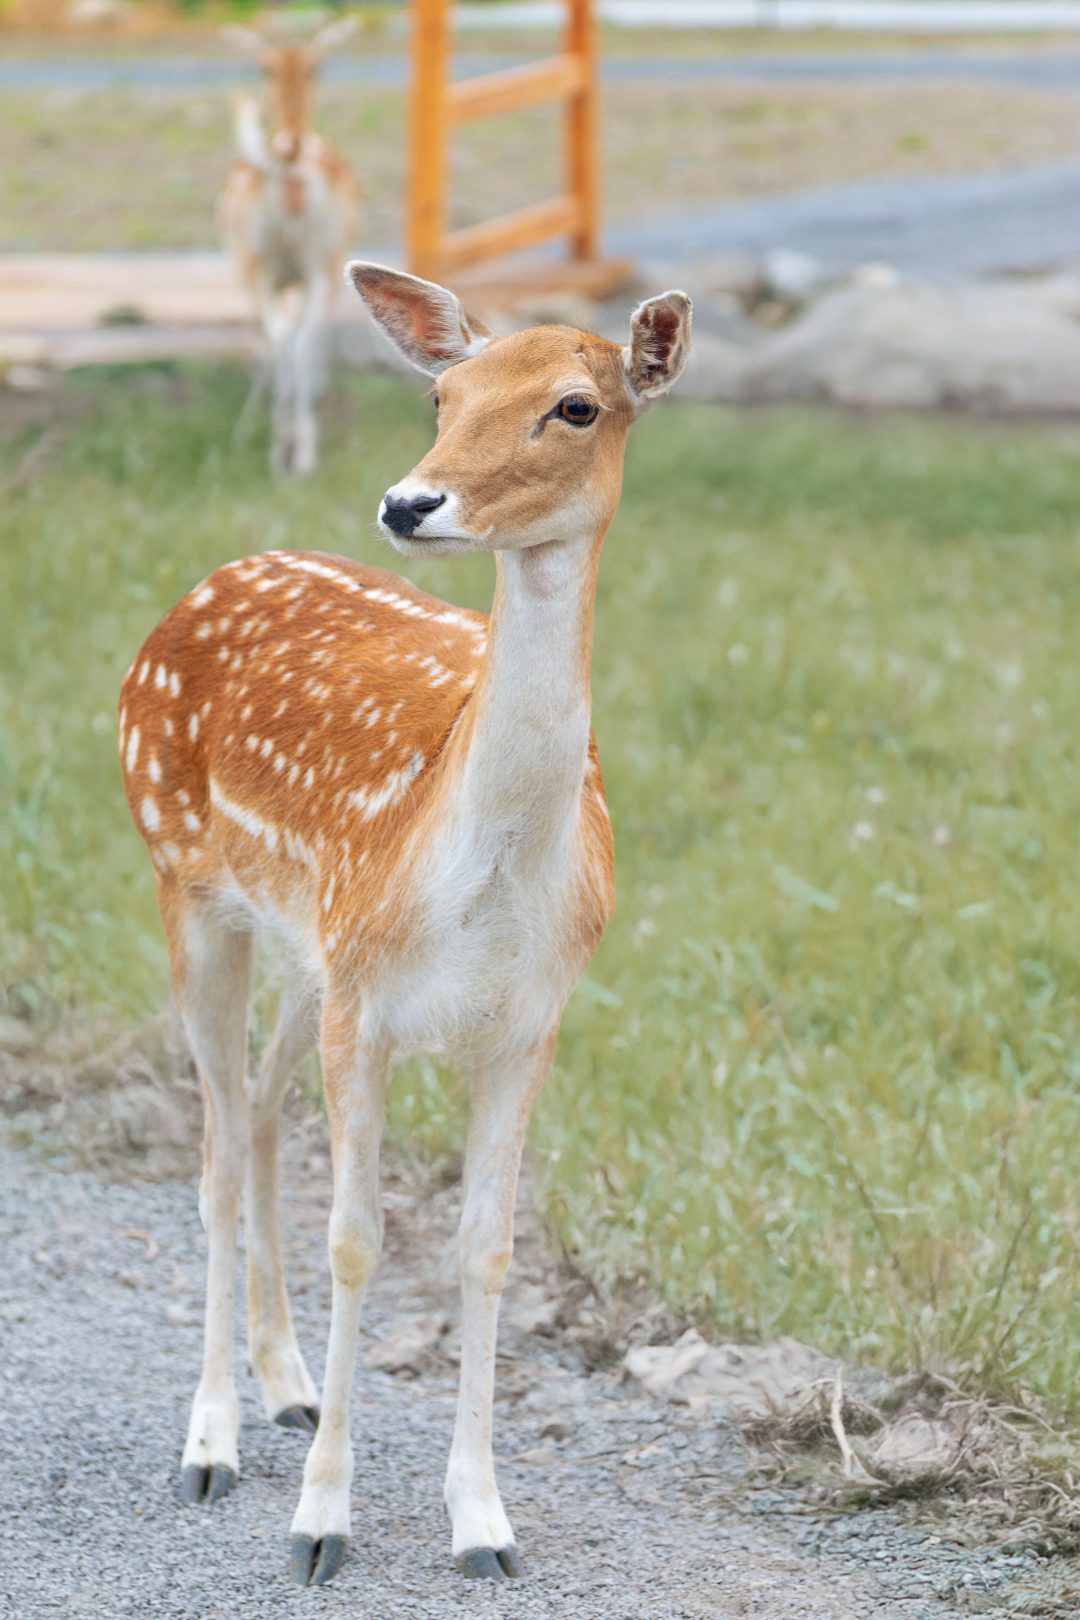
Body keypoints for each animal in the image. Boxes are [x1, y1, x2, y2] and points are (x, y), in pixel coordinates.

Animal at [117, 263, 691, 1587]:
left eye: (576, 406)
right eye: (443, 393)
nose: (408, 501)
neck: (484, 884)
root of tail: (204, 584)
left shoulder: (526, 1024)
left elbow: (484, 1248)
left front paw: (482, 1521)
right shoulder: (368, 1008)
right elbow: (359, 1239)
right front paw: (321, 1522)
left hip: (303, 949)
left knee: (257, 1114)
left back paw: (286, 1389)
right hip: (186, 882)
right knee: (216, 1150)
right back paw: (212, 1441)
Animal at [219, 20, 361, 476]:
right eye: (265, 66)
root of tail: (292, 163)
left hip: (268, 263)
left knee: (286, 338)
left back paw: (284, 448)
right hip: (310, 263)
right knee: (298, 336)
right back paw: (296, 450)